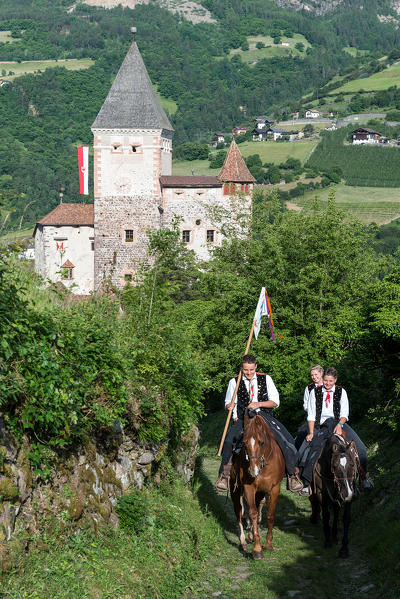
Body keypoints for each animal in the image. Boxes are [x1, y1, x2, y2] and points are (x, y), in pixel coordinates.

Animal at [228, 410, 284, 560]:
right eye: (244, 442)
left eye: (261, 442)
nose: (254, 471)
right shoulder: (249, 488)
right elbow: (252, 513)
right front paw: (257, 549)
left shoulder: (274, 488)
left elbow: (270, 514)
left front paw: (268, 544)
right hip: (235, 491)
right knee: (239, 512)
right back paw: (243, 542)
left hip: (260, 492)